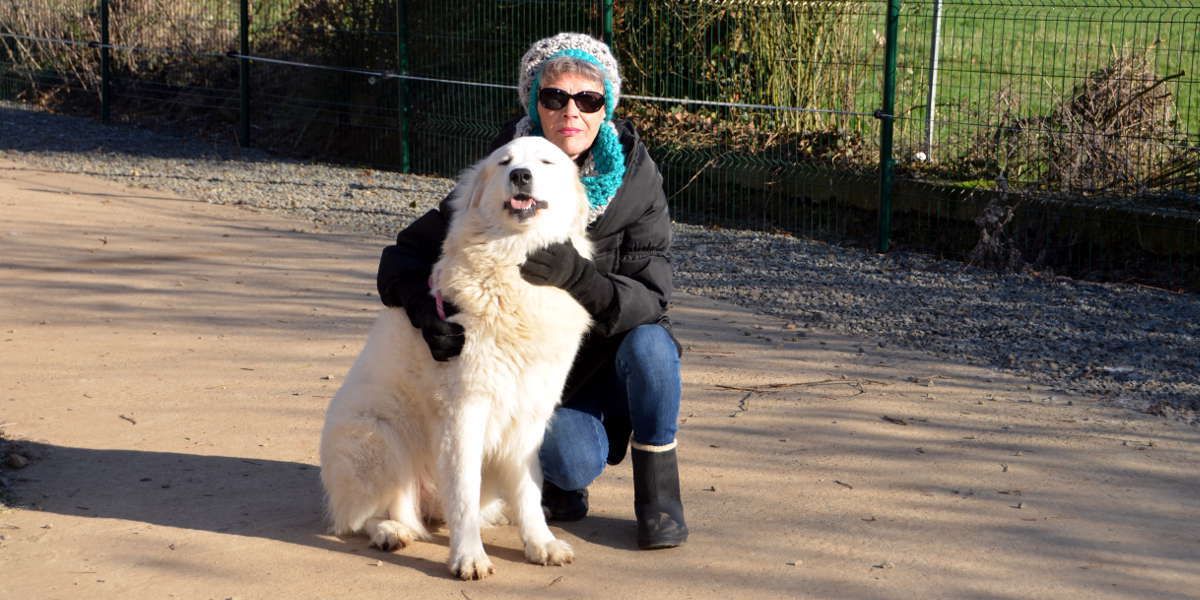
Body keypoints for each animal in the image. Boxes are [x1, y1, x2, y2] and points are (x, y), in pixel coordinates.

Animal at [321, 137, 592, 580]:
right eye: (505, 162)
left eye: (545, 162)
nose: (521, 176)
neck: (512, 265)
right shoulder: (465, 410)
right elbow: (463, 492)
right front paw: (469, 557)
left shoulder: (530, 416)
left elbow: (528, 489)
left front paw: (540, 543)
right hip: (378, 436)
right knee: (366, 515)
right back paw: (391, 532)